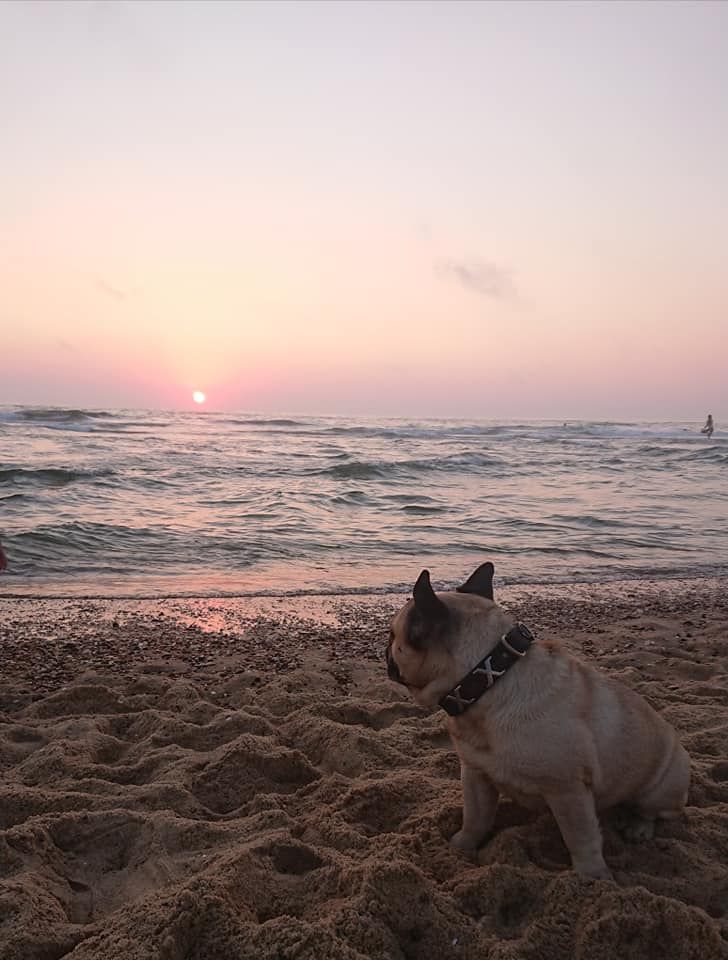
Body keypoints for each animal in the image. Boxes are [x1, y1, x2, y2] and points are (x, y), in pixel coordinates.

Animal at [384, 560, 692, 880]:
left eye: (393, 637)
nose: (385, 650)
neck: (488, 680)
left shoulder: (568, 791)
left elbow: (581, 840)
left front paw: (593, 877)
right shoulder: (476, 775)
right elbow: (475, 819)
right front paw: (461, 846)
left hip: (659, 788)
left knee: (652, 811)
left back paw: (638, 827)